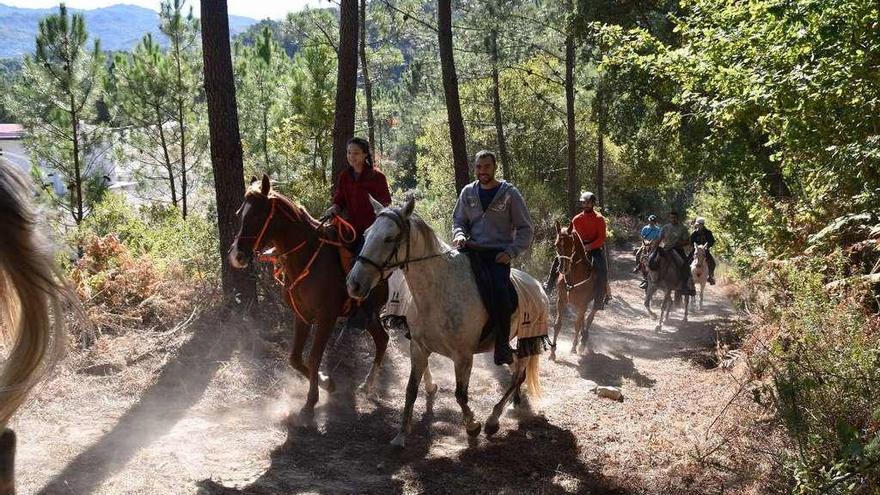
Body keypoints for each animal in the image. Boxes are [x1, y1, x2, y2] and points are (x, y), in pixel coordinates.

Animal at [229, 176, 390, 420]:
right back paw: (367, 385)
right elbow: (295, 358)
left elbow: (314, 357)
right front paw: (327, 383)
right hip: (368, 316)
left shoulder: (326, 318)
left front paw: (310, 402)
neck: (306, 258)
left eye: (257, 216)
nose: (236, 256)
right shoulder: (302, 315)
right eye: (239, 214)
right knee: (382, 339)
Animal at [346, 198, 540, 450]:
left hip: (523, 340)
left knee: (519, 374)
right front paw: (401, 435)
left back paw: (493, 419)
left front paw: (472, 426)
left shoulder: (463, 356)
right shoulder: (418, 347)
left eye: (389, 238)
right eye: (367, 233)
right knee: (517, 369)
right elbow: (411, 389)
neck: (437, 291)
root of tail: (536, 284)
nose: (354, 284)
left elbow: (460, 395)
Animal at [552, 221, 600, 356]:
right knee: (583, 319)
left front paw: (573, 347)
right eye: (556, 245)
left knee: (589, 318)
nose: (563, 268)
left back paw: (583, 342)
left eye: (571, 244)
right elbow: (558, 324)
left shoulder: (583, 303)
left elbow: (577, 325)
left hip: (593, 303)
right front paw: (552, 352)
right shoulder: (561, 301)